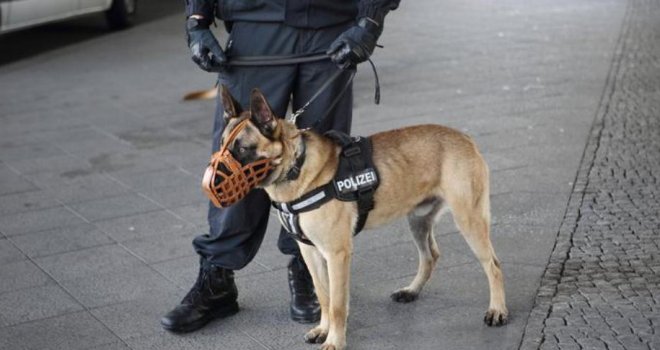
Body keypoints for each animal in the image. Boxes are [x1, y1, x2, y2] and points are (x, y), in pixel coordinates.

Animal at [214, 85, 508, 350]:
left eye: (243, 149)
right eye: (222, 145)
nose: (212, 183)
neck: (297, 166)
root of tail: (464, 137)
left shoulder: (337, 254)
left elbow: (337, 304)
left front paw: (335, 340)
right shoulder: (310, 252)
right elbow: (323, 296)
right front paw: (323, 329)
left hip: (469, 220)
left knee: (493, 265)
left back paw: (498, 310)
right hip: (418, 220)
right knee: (430, 256)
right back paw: (411, 291)